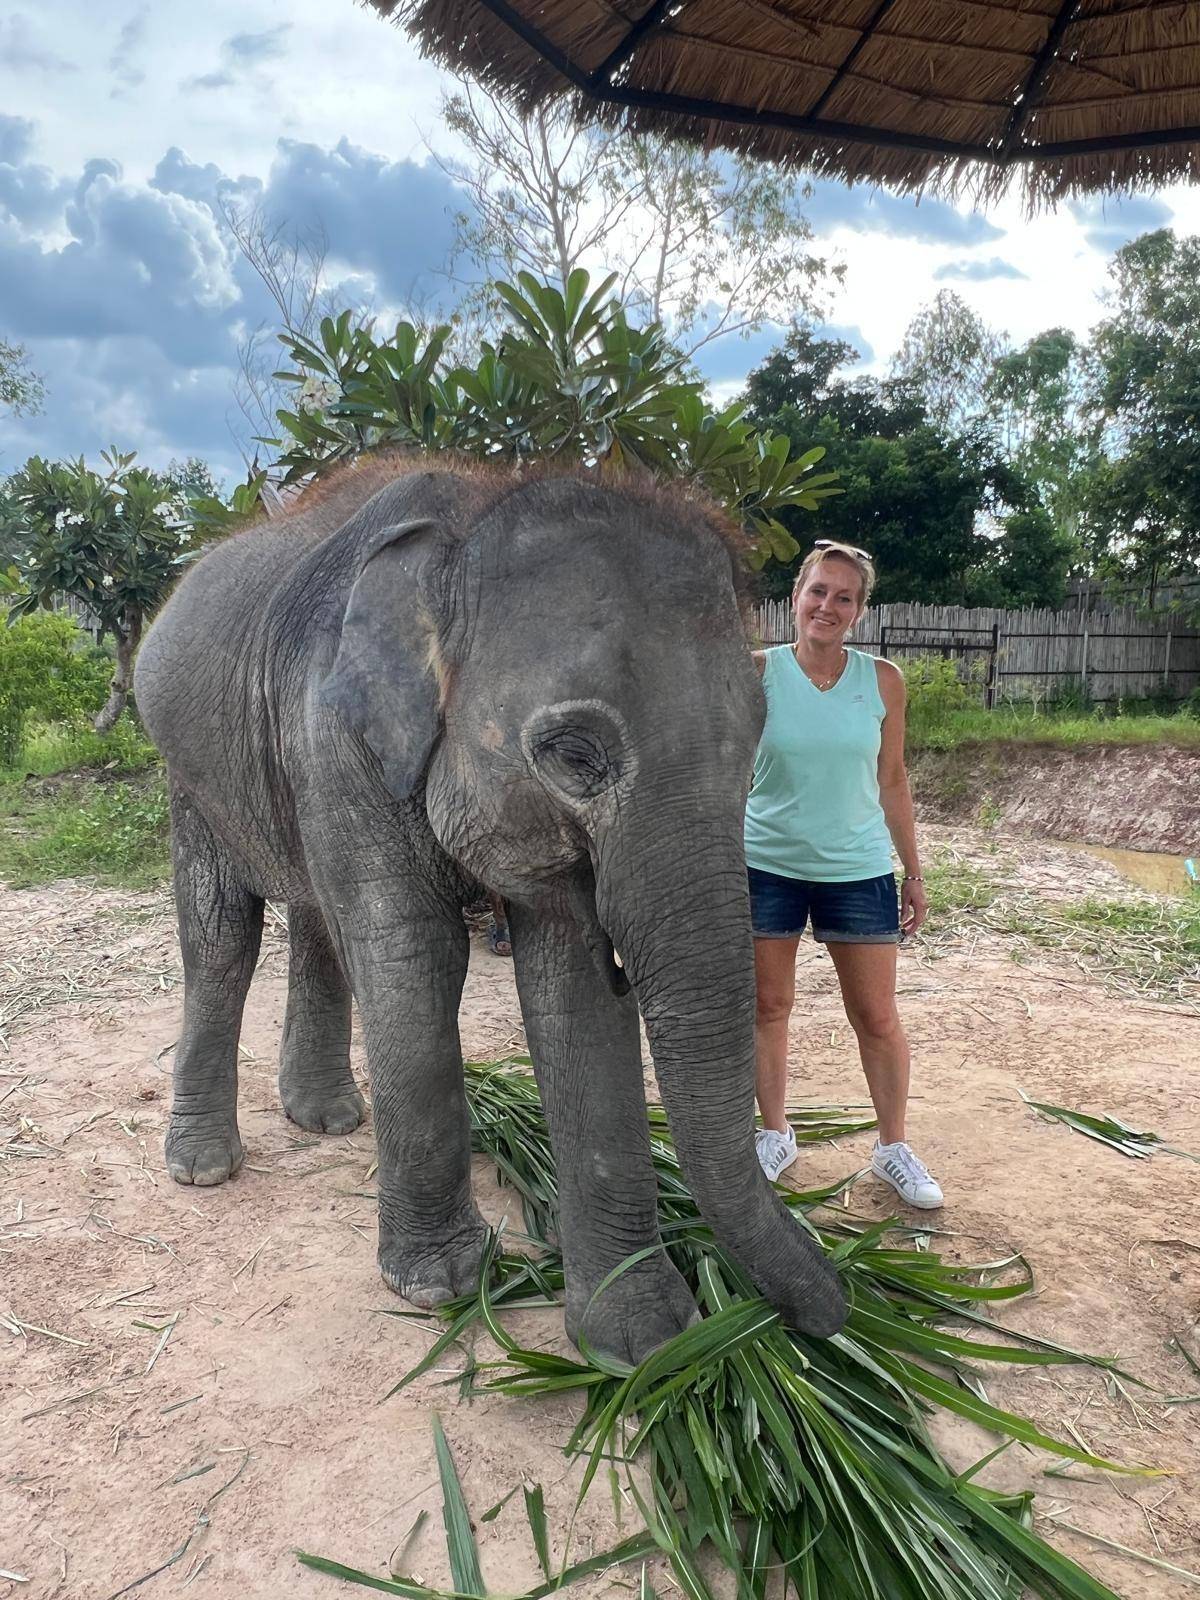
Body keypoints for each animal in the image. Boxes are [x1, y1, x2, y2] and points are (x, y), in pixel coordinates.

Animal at [134, 455, 847, 1363]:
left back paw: (330, 1120)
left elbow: (571, 981)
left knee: (317, 921)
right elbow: (414, 955)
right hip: (190, 772)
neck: (469, 521)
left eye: (756, 744)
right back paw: (203, 1166)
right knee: (224, 934)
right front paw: (443, 1286)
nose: (839, 1309)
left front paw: (640, 1342)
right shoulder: (336, 738)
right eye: (575, 754)